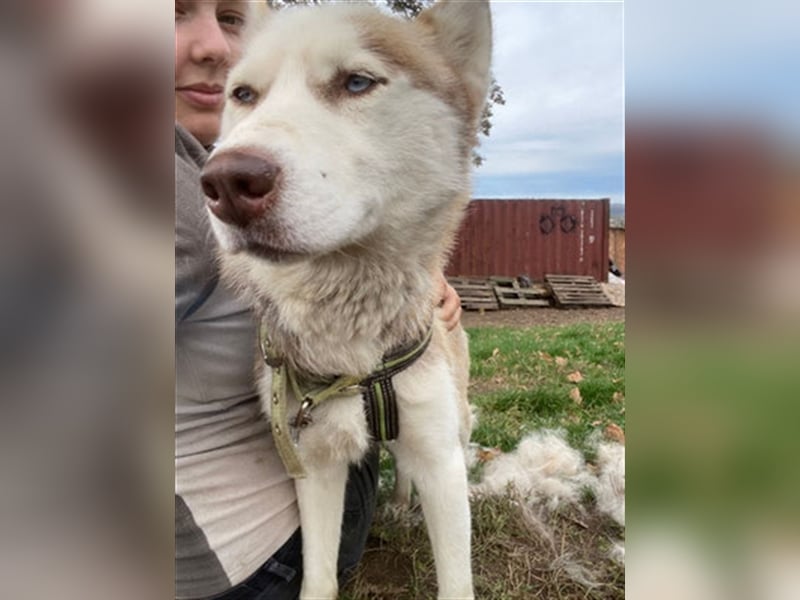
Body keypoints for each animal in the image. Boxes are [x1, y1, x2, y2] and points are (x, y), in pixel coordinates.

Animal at [202, 3, 488, 596]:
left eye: (357, 82)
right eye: (243, 94)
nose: (227, 182)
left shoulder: (440, 460)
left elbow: (456, 579)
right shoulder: (313, 462)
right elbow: (318, 574)